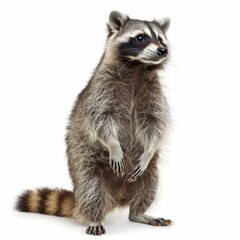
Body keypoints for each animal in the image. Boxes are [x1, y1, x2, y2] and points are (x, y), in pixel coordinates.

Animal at [16, 10, 173, 234]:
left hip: (149, 172)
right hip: (88, 166)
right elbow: (100, 119)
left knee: (149, 184)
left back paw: (138, 212)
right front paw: (114, 146)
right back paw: (95, 217)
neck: (137, 67)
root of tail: (118, 198)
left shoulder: (154, 93)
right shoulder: (102, 89)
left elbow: (156, 122)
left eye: (160, 38)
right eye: (140, 37)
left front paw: (149, 149)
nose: (163, 50)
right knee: (93, 190)